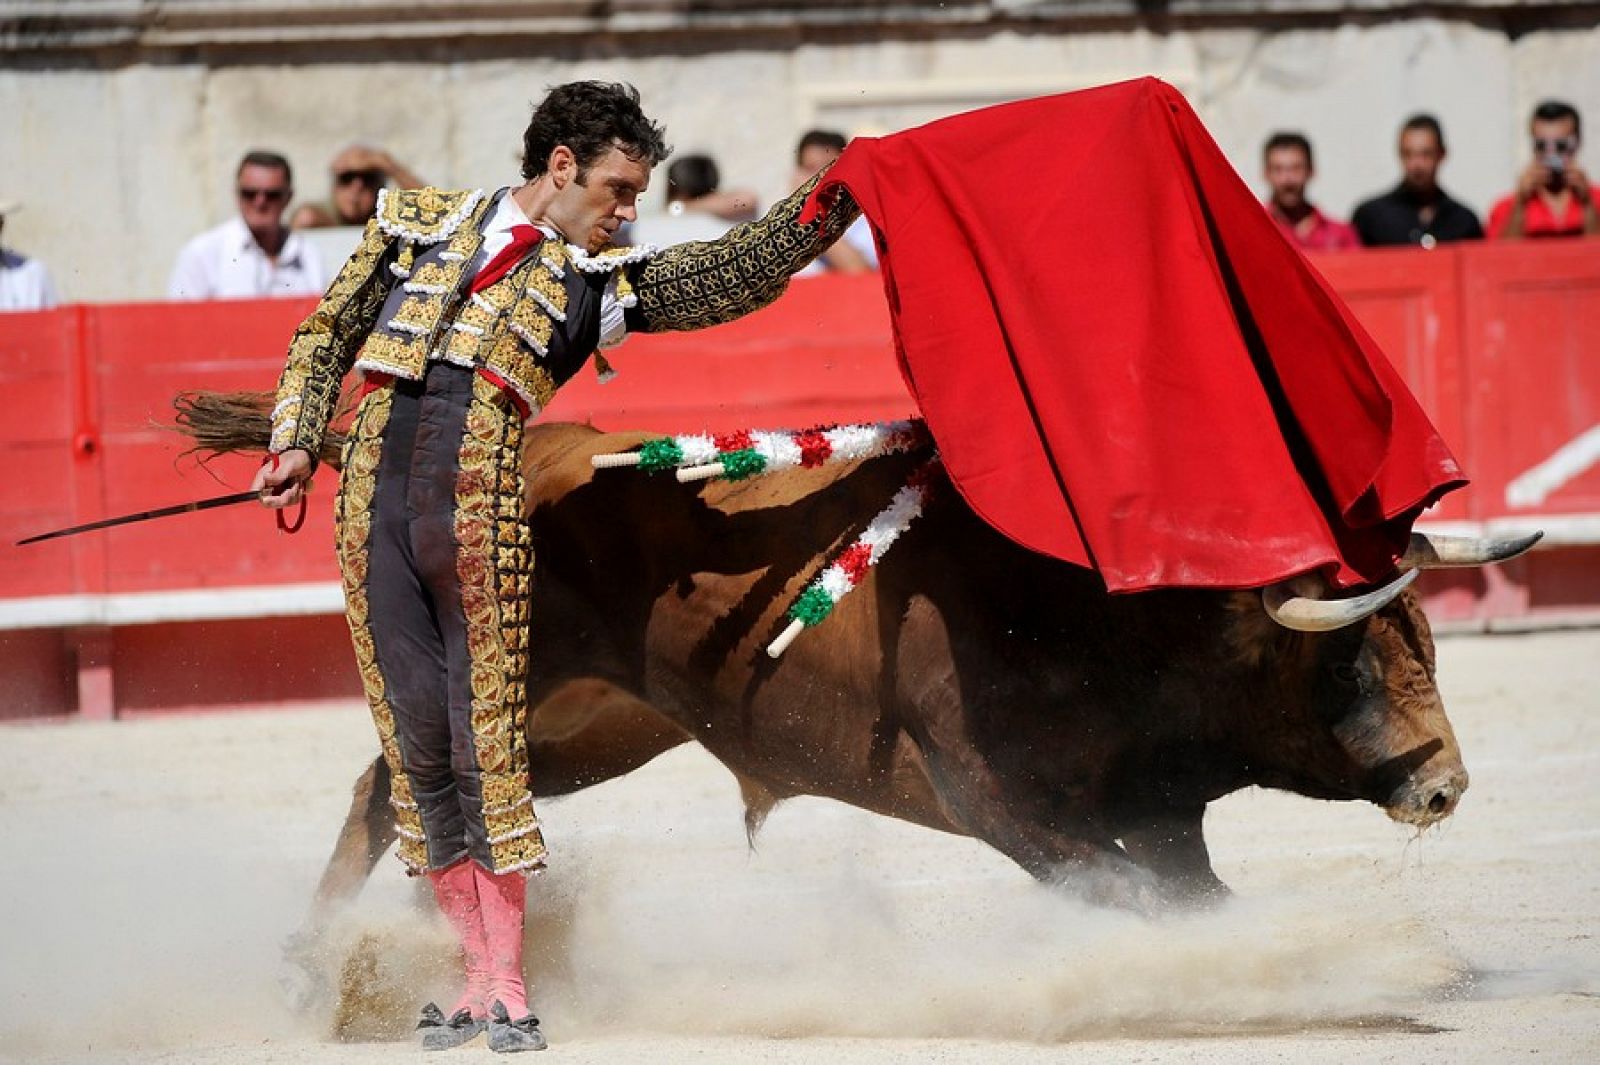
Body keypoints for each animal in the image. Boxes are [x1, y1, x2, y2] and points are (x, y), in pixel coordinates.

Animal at [291, 418, 1536, 933]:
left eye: (1425, 641)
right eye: (1346, 657)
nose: (1445, 785)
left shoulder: (1159, 810)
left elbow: (1193, 895)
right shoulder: (1002, 805)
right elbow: (1128, 895)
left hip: (602, 727)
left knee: (401, 793)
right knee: (406, 789)